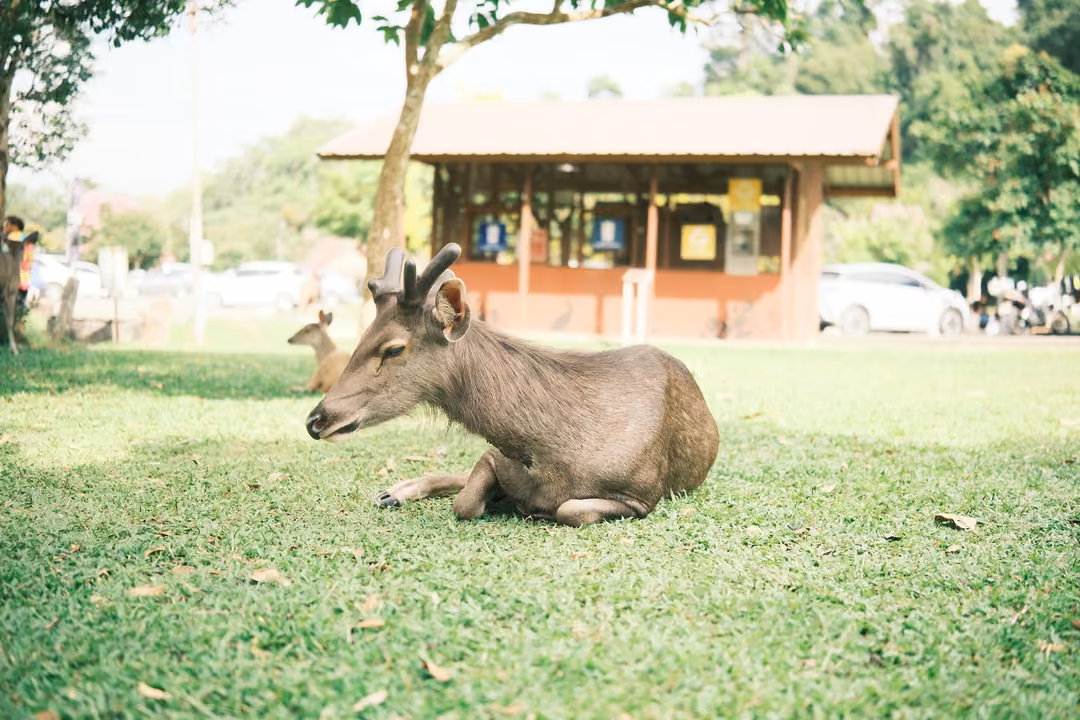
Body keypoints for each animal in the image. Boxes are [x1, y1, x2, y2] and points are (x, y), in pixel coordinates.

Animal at [304, 243, 720, 527]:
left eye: (393, 348)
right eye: (363, 335)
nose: (316, 419)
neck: (547, 452)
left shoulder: (642, 495)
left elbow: (569, 509)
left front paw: (532, 508)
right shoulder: (496, 456)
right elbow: (468, 496)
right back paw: (394, 491)